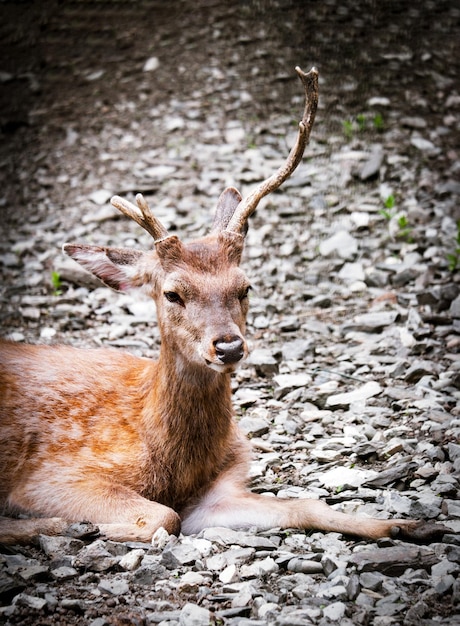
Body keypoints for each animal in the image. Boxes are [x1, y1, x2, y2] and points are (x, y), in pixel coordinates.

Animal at [0, 68, 446, 544]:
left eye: (245, 287)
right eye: (172, 293)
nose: (229, 346)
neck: (172, 462)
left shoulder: (220, 491)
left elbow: (305, 505)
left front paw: (411, 524)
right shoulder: (52, 474)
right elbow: (163, 516)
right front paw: (81, 527)